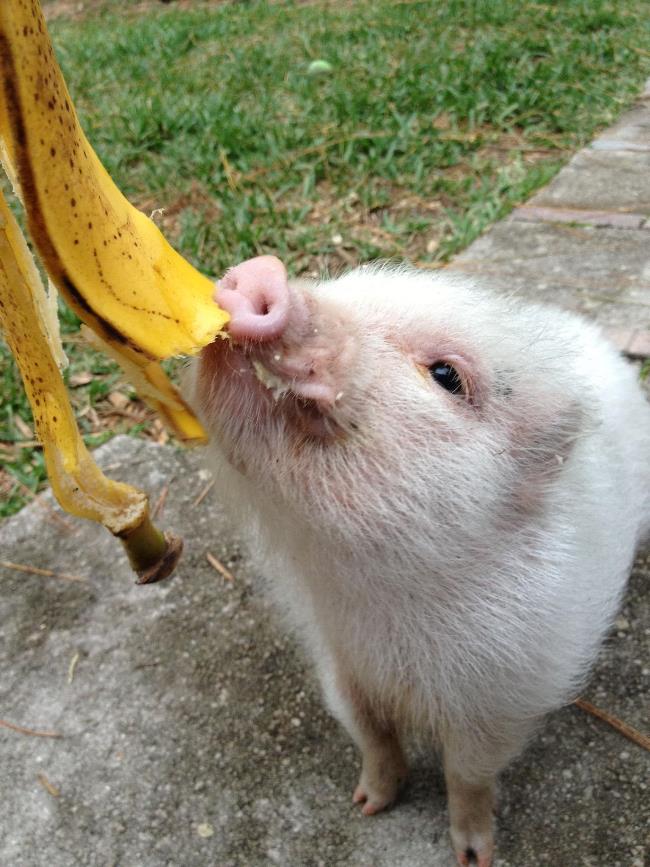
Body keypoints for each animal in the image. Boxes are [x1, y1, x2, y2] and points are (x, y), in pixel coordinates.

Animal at [187, 256, 648, 867]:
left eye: (447, 375)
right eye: (345, 283)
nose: (260, 272)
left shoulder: (507, 694)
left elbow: (467, 775)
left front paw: (474, 856)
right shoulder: (337, 658)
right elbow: (371, 736)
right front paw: (366, 805)